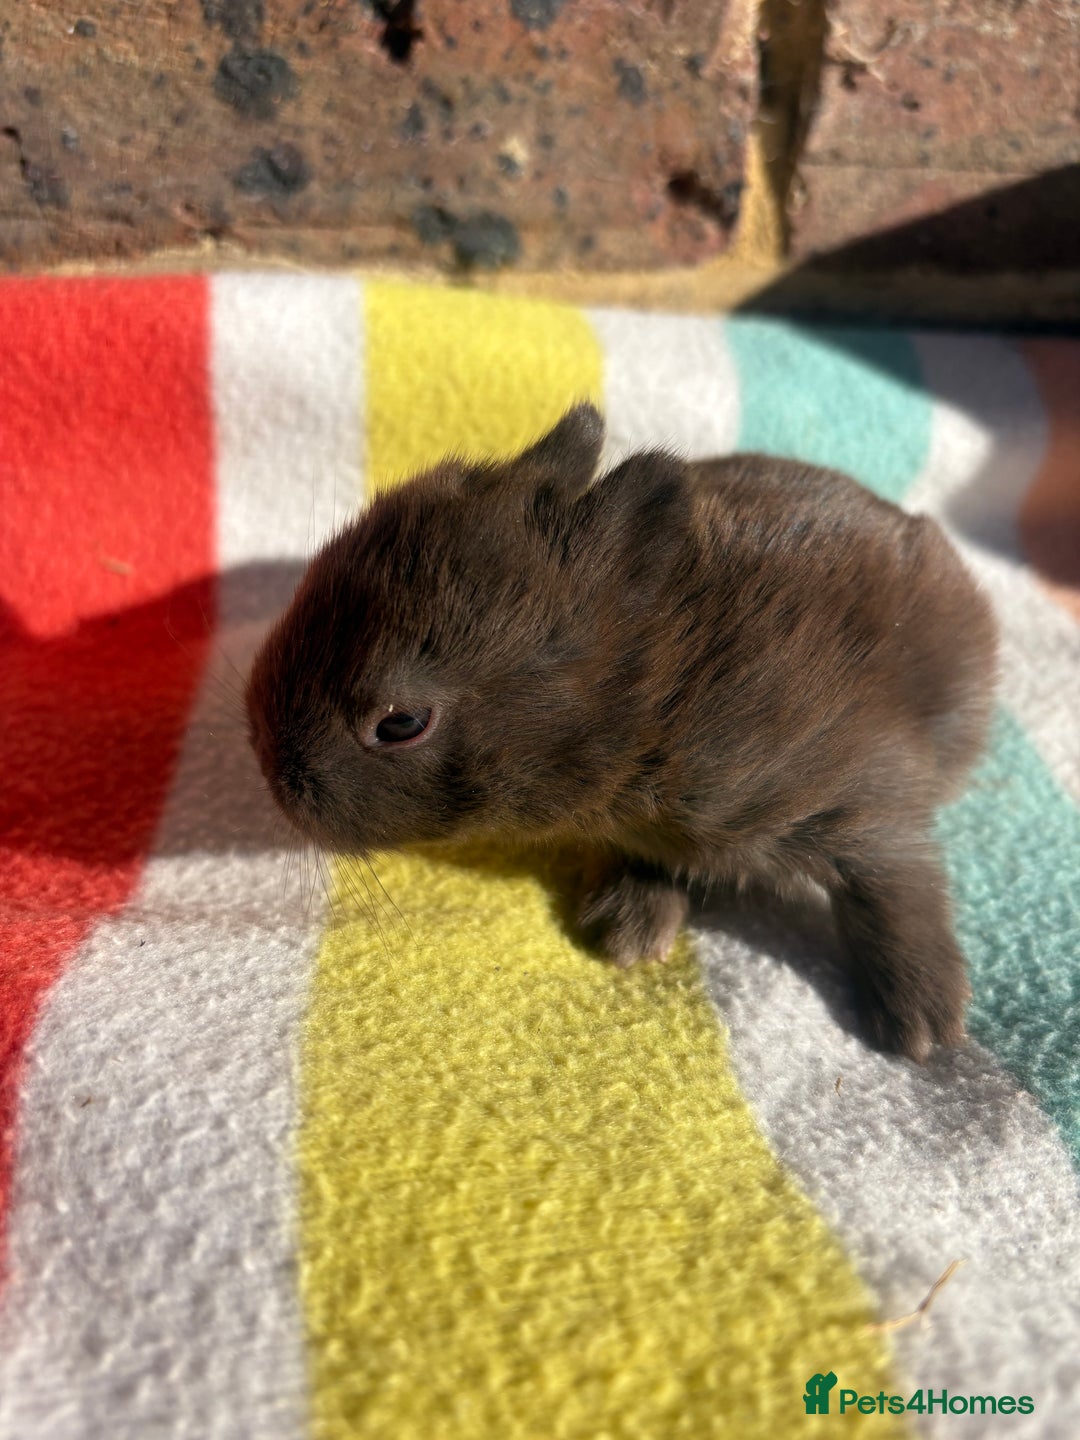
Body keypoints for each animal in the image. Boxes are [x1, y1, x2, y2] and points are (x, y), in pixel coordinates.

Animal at [246, 403, 998, 1062]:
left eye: (400, 723)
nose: (269, 764)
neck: (656, 689)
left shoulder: (864, 796)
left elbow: (895, 885)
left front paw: (924, 1018)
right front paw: (629, 923)